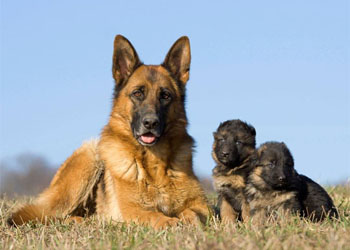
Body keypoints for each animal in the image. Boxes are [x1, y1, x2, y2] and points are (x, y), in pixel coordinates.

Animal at [8, 34, 211, 229]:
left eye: (165, 96)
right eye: (138, 93)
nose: (150, 123)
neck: (154, 164)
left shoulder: (202, 207)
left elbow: (194, 213)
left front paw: (189, 221)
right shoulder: (133, 210)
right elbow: (154, 215)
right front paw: (169, 222)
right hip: (89, 157)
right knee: (52, 216)